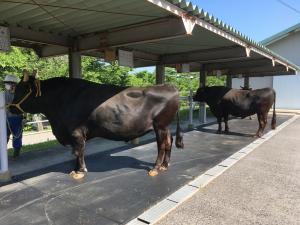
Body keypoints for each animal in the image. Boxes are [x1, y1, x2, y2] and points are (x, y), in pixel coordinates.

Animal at [8, 70, 183, 179]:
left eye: (22, 90)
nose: (10, 108)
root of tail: (169, 86)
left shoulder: (76, 132)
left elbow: (78, 151)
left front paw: (80, 171)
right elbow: (76, 152)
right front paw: (74, 169)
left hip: (160, 125)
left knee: (162, 145)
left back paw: (155, 168)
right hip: (165, 126)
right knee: (169, 142)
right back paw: (165, 165)